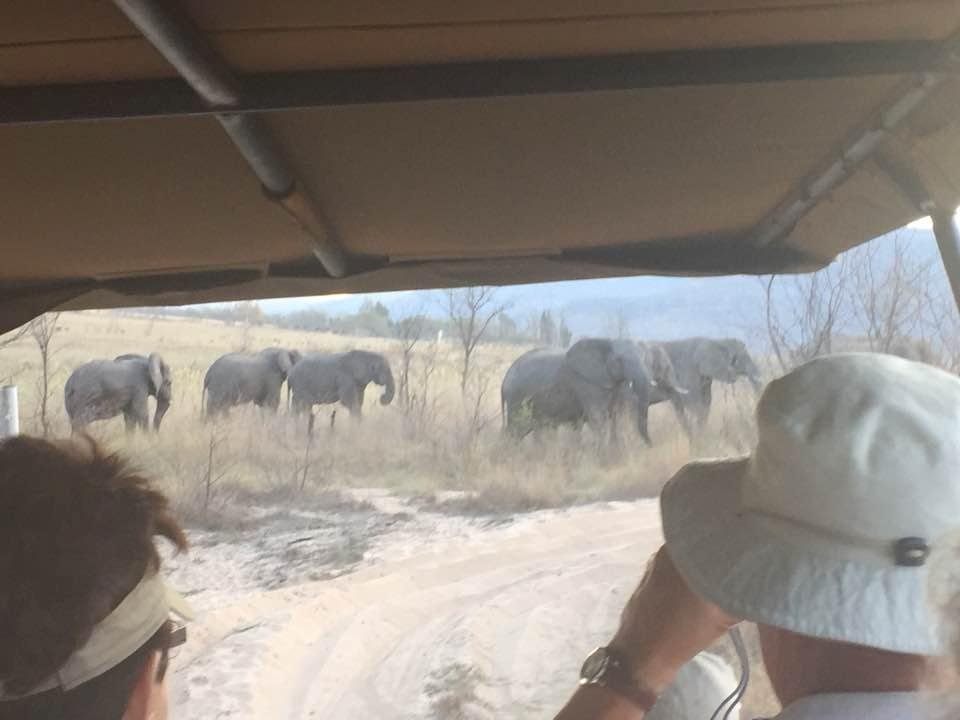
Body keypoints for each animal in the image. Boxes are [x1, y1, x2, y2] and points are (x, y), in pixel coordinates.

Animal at [500, 338, 653, 444]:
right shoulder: (586, 383)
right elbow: (598, 419)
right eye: (619, 360)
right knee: (517, 428)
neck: (606, 341)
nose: (650, 445)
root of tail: (504, 380)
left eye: (644, 357)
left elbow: (618, 416)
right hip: (516, 398)